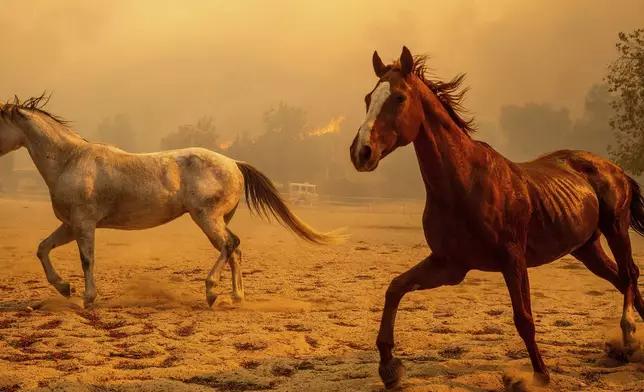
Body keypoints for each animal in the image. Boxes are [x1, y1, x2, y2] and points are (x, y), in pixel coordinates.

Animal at [0, 95, 344, 306]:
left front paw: (86, 297)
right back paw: (235, 297)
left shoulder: (84, 224)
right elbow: (43, 249)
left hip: (206, 217)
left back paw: (211, 291)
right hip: (216, 219)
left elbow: (87, 259)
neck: (70, 160)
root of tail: (234, 163)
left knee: (229, 245)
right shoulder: (70, 225)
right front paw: (64, 287)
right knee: (234, 251)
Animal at [350, 46, 644, 388]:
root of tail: (614, 168)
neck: (464, 183)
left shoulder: (512, 259)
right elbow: (395, 287)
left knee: (629, 274)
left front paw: (540, 375)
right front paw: (389, 367)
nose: (361, 152)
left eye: (399, 97)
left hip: (616, 228)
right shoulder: (449, 265)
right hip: (586, 248)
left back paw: (629, 333)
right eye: (368, 98)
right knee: (619, 278)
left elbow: (524, 318)